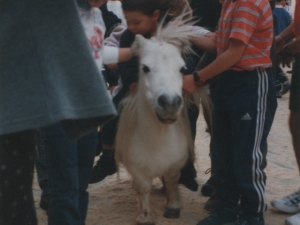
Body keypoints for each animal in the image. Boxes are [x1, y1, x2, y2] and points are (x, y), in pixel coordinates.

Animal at [115, 16, 211, 225]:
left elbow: (173, 180)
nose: (169, 103)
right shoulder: (138, 170)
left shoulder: (175, 164)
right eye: (144, 67)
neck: (157, 141)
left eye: (182, 68)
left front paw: (173, 207)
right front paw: (145, 217)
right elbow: (143, 189)